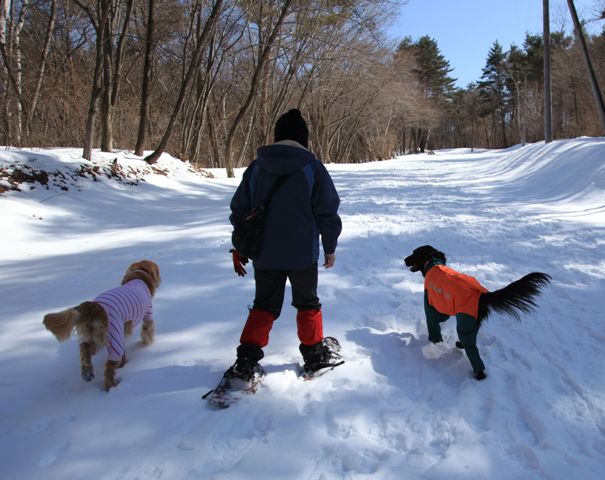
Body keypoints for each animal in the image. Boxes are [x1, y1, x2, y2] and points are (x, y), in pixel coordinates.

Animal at [43, 260, 160, 392]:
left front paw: (123, 363)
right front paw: (146, 343)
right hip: (113, 336)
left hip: (95, 337)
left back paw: (87, 372)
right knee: (108, 370)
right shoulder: (147, 314)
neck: (138, 276)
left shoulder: (122, 333)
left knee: (84, 348)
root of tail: (93, 307)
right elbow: (147, 330)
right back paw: (112, 388)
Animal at [404, 246, 548, 380]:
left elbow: (433, 324)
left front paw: (435, 342)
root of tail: (483, 295)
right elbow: (442, 317)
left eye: (414, 253)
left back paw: (479, 374)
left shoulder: (429, 303)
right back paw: (460, 345)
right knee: (470, 340)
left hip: (465, 321)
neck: (433, 263)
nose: (404, 259)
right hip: (472, 322)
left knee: (473, 351)